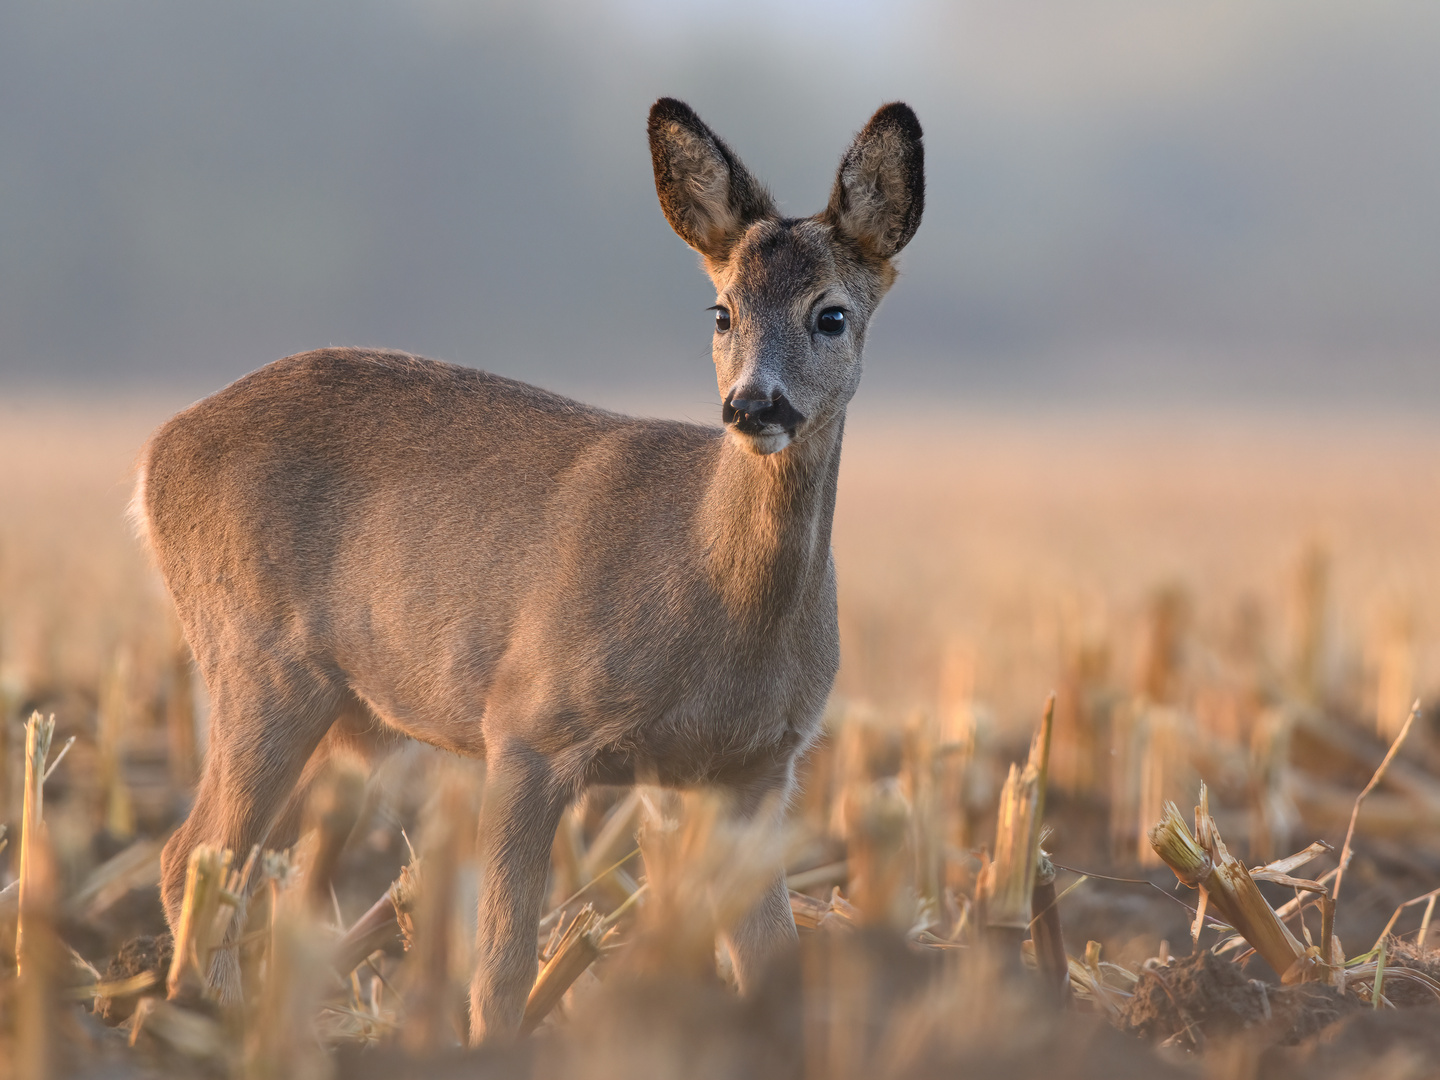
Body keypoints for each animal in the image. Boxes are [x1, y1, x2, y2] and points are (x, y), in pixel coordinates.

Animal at [135, 97, 921, 1042]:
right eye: (722, 310)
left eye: (831, 314)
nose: (752, 406)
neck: (712, 597)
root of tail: (156, 454)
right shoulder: (526, 724)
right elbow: (504, 962)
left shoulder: (756, 773)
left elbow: (772, 965)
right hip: (257, 658)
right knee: (194, 854)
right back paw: (200, 1020)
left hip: (340, 708)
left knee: (264, 870)